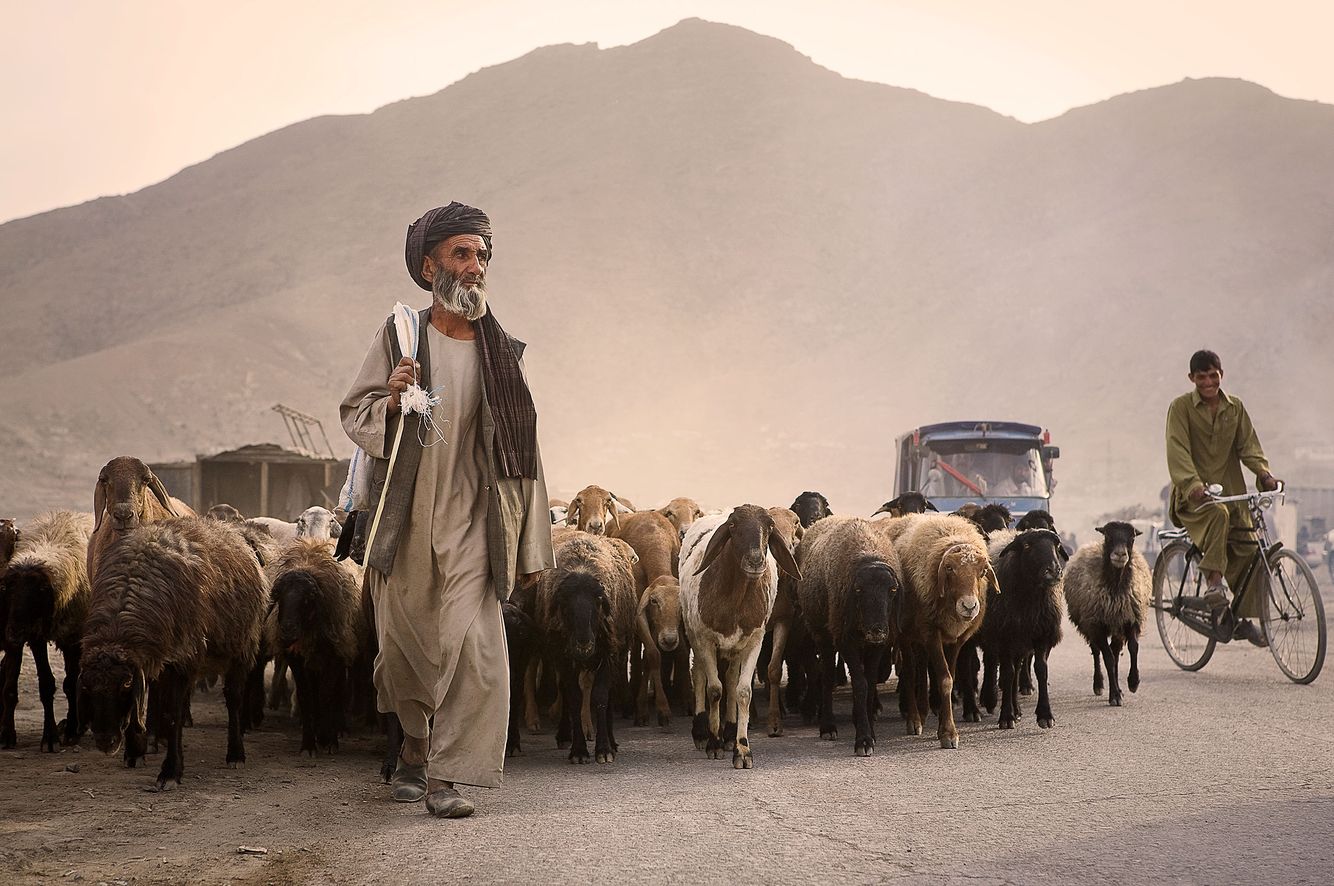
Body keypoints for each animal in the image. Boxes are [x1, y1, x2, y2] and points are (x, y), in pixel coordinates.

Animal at [0, 509, 95, 752]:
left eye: (41, 590)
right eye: (7, 589)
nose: (13, 633)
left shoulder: (73, 636)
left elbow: (70, 683)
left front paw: (70, 732)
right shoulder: (37, 637)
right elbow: (46, 684)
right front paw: (50, 737)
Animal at [76, 515, 269, 789]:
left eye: (125, 684)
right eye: (87, 686)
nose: (105, 741)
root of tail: (231, 530)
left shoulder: (182, 659)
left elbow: (172, 715)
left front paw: (170, 772)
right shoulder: (150, 661)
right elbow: (142, 705)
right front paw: (135, 753)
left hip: (240, 648)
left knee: (233, 699)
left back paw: (235, 753)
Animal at [891, 512, 997, 747]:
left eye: (982, 571)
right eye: (949, 569)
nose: (969, 606)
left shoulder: (956, 639)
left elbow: (950, 674)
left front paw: (942, 724)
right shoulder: (932, 633)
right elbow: (945, 679)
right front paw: (949, 733)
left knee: (921, 667)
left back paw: (923, 711)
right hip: (905, 633)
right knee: (910, 670)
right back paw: (914, 719)